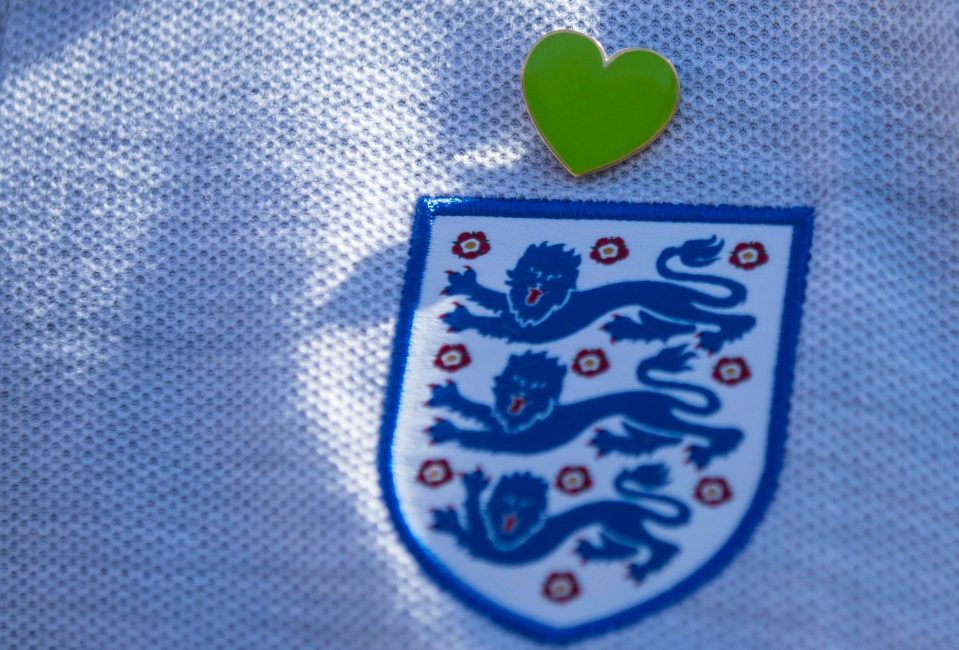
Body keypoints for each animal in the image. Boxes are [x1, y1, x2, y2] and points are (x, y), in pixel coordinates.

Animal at [428, 344, 744, 466]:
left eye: (538, 386)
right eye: (516, 379)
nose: (522, 393)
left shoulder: (523, 440)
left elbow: (484, 436)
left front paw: (450, 431)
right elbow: (482, 412)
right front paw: (450, 396)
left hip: (648, 415)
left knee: (703, 431)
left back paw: (715, 447)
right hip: (637, 419)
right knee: (664, 439)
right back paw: (616, 442)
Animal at [434, 464, 688, 580]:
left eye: (526, 506)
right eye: (506, 501)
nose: (513, 513)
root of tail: (635, 506)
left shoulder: (497, 548)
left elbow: (473, 529)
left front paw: (453, 514)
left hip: (621, 525)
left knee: (664, 545)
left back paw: (645, 567)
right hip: (610, 526)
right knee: (631, 548)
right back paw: (596, 550)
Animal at [442, 235, 756, 352]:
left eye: (555, 276)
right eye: (533, 270)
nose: (541, 282)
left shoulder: (532, 330)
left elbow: (493, 322)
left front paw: (463, 318)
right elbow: (495, 300)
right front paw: (466, 285)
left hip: (669, 305)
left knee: (735, 319)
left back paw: (719, 337)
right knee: (684, 326)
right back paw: (630, 328)